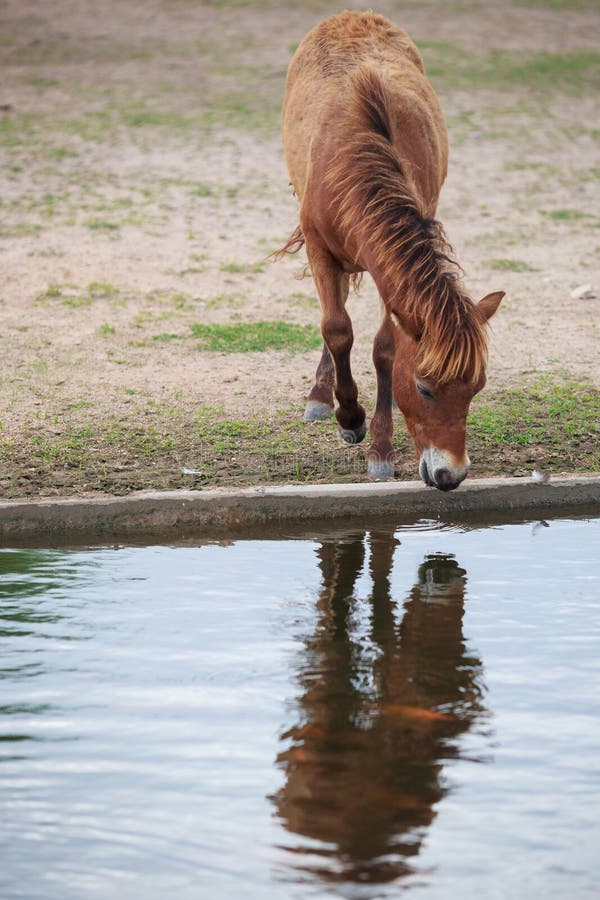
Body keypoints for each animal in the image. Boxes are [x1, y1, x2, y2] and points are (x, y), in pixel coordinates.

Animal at [280, 11, 504, 491]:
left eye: (476, 388)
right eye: (424, 388)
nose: (451, 474)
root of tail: (352, 15)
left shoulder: (388, 267)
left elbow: (385, 348)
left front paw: (380, 448)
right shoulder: (320, 248)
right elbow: (336, 327)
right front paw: (349, 418)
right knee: (334, 311)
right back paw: (320, 395)